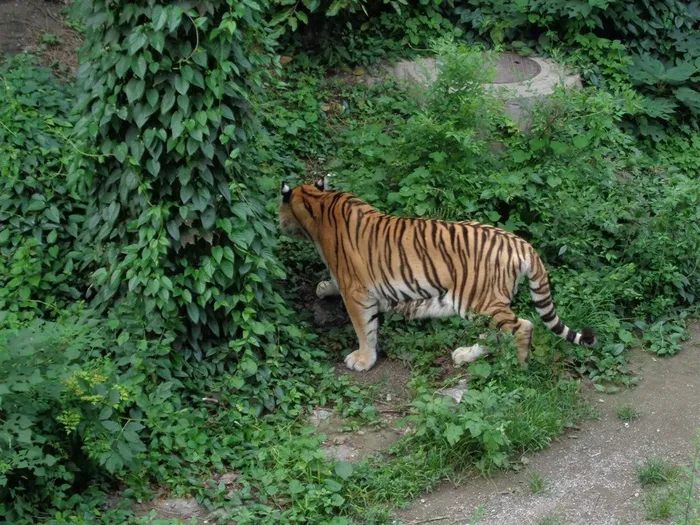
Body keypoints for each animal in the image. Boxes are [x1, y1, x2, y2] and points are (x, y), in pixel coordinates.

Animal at [279, 178, 596, 372]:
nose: (278, 222)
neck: (319, 203)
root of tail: (521, 243)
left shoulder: (357, 291)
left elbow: (364, 329)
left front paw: (363, 360)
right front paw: (323, 287)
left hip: (479, 300)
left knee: (522, 327)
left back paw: (517, 368)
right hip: (480, 306)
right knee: (497, 333)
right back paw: (465, 354)